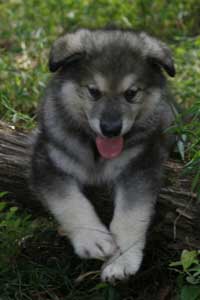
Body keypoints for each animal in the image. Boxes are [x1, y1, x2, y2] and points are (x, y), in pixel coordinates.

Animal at [30, 29, 175, 282]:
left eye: (131, 93)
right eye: (93, 91)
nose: (110, 129)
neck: (95, 151)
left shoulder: (140, 167)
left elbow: (131, 213)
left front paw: (121, 260)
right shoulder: (47, 161)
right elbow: (69, 201)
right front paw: (93, 239)